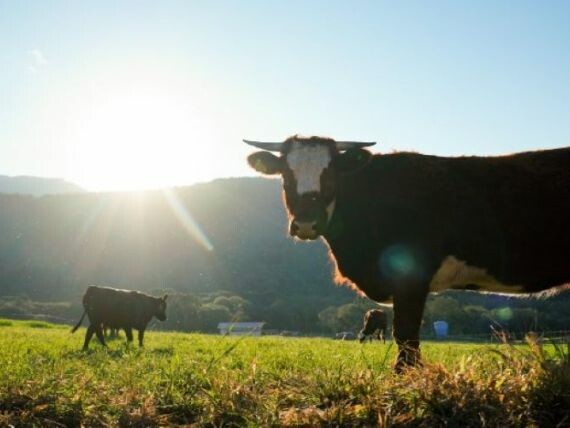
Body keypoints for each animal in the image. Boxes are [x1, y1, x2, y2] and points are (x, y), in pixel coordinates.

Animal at [244, 135, 568, 372]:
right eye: (286, 177)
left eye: (331, 177)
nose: (306, 223)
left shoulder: (411, 278)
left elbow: (406, 332)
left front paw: (406, 375)